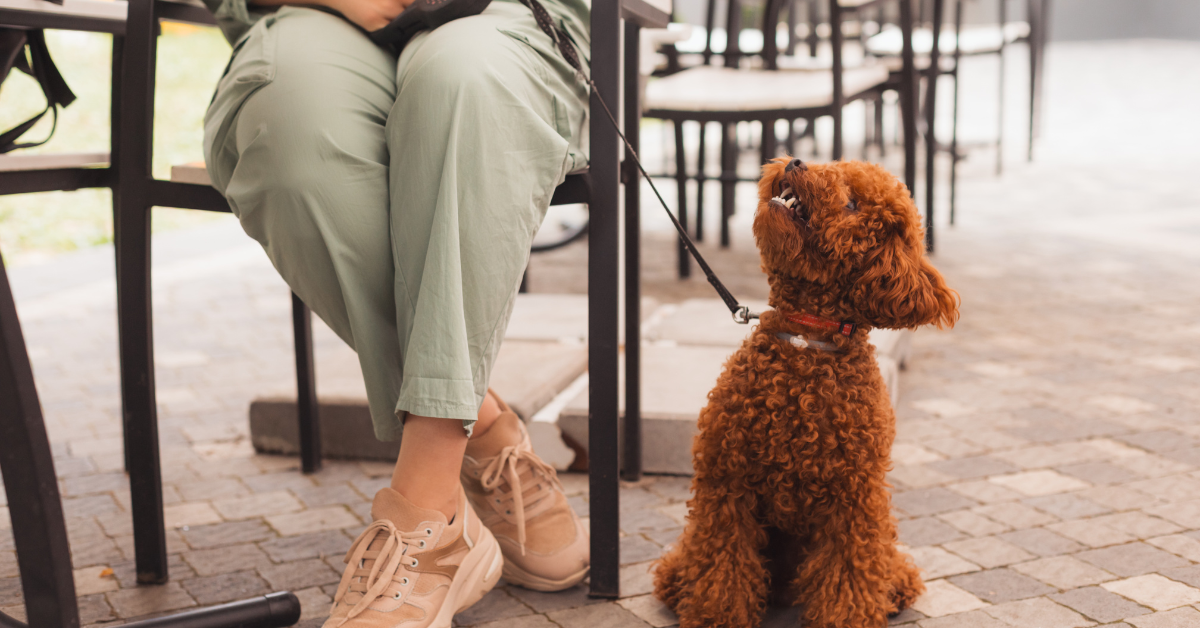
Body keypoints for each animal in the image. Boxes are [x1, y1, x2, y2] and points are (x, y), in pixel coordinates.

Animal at [652, 157, 960, 628]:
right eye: (834, 166)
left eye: (852, 204)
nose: (796, 161)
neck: (805, 342)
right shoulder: (726, 486)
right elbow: (723, 571)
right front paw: (715, 617)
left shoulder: (853, 501)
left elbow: (847, 576)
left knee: (884, 568)